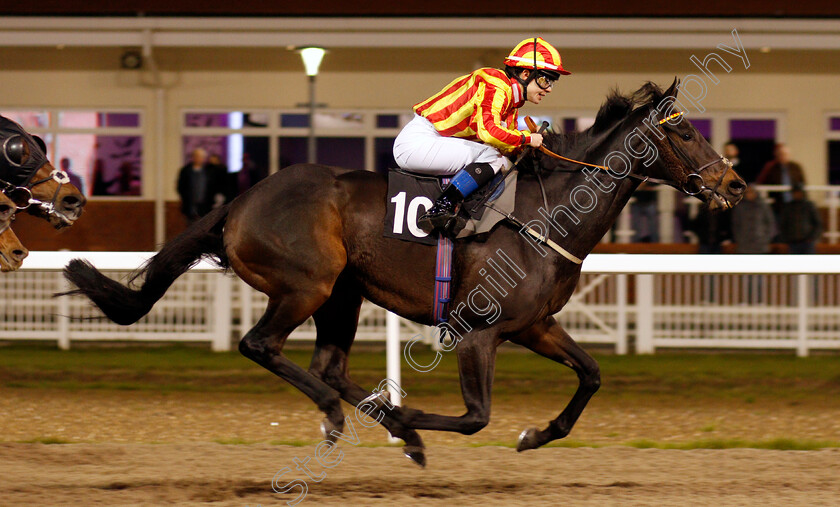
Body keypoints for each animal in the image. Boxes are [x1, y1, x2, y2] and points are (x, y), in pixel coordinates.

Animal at [67, 81, 748, 466]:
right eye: (686, 130)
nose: (736, 183)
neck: (548, 210)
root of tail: (242, 199)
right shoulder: (478, 330)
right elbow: (475, 417)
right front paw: (414, 422)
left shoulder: (534, 326)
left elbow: (592, 374)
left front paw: (536, 434)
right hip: (306, 284)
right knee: (261, 345)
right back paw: (353, 420)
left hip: (342, 295)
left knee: (327, 365)